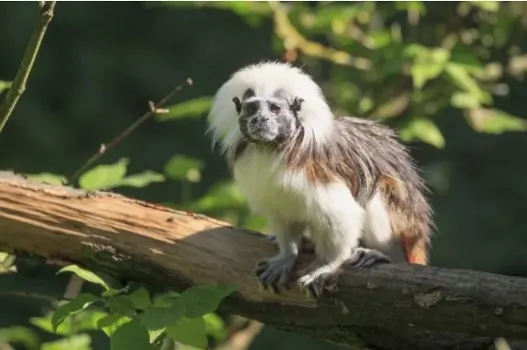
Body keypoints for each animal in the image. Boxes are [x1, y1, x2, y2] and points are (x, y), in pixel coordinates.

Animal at [205, 60, 434, 298]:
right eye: (251, 109)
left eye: (274, 109)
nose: (260, 119)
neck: (274, 148)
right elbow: (282, 213)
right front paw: (288, 254)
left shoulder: (316, 171)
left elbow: (342, 215)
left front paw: (328, 265)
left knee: (376, 191)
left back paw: (377, 254)